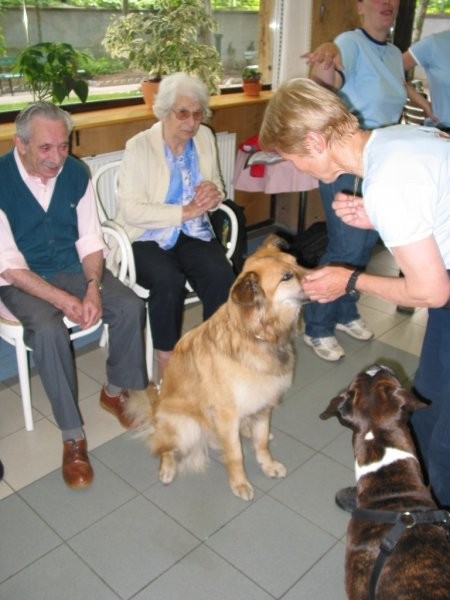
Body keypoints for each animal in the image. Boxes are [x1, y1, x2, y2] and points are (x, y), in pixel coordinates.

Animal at [126, 237, 310, 500]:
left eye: (296, 262)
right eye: (287, 277)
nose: (319, 273)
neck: (254, 335)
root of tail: (154, 411)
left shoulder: (263, 405)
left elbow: (262, 442)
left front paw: (268, 465)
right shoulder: (226, 414)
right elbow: (234, 455)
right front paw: (240, 483)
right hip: (185, 426)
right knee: (164, 447)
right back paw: (167, 467)